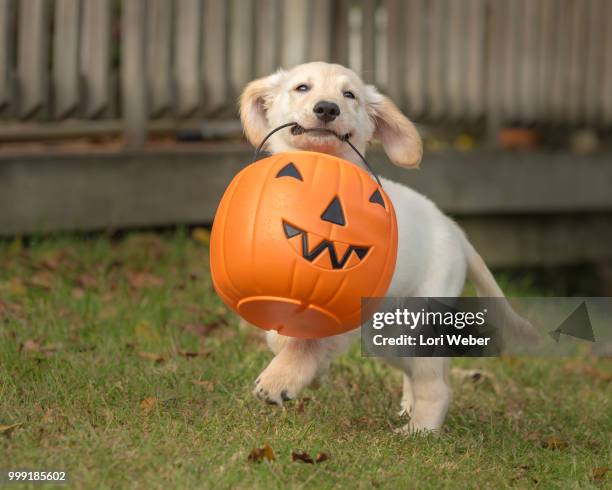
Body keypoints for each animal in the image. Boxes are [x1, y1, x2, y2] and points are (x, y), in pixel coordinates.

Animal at [238, 61, 532, 432]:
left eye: (350, 95)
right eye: (302, 88)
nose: (327, 109)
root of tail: (454, 229)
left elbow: (308, 340)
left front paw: (282, 378)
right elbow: (280, 334)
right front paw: (308, 370)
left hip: (410, 323)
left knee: (437, 385)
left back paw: (419, 430)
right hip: (386, 339)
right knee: (430, 372)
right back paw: (408, 407)